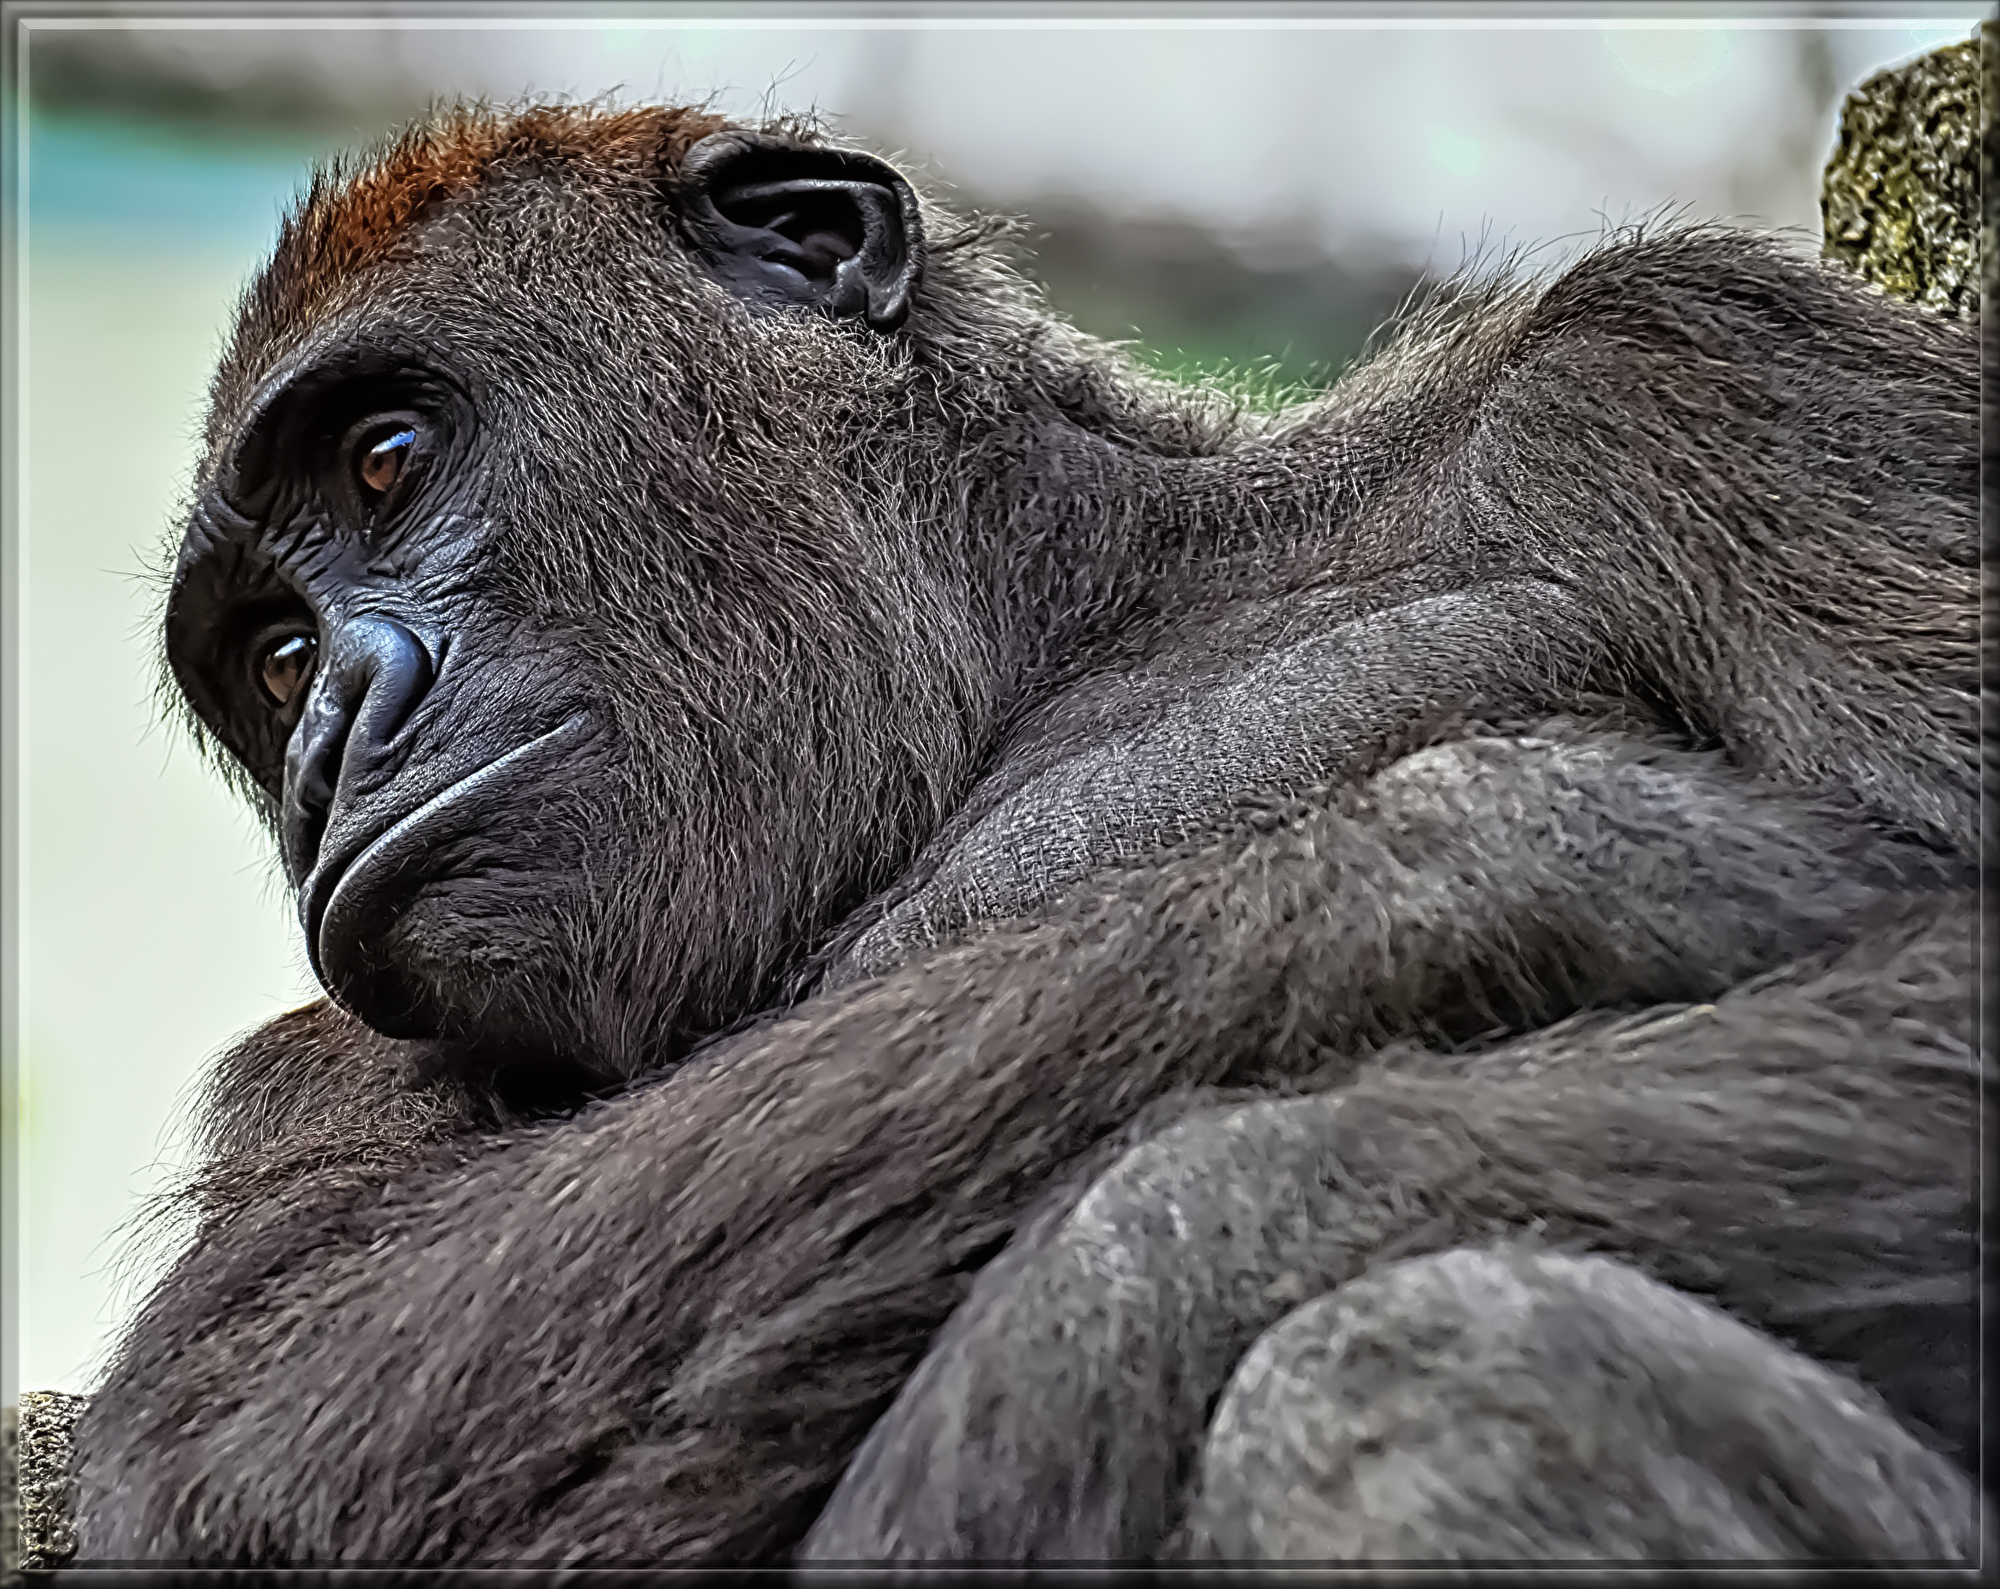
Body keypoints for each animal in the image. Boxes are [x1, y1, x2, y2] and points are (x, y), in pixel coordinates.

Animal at [71, 102, 1977, 1566]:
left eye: (388, 457)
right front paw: (1544, 850)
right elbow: (263, 1412)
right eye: (277, 657)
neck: (1065, 619)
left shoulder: (1674, 372)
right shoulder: (325, 1060)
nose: (334, 735)